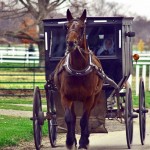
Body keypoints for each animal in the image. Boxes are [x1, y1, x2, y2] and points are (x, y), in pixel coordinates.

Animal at [54, 9, 104, 149]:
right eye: (66, 26)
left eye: (82, 27)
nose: (71, 43)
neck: (78, 70)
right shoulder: (65, 96)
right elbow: (69, 118)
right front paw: (70, 141)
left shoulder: (89, 98)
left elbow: (84, 120)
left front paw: (83, 142)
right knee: (74, 116)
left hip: (95, 97)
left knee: (87, 116)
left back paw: (85, 139)